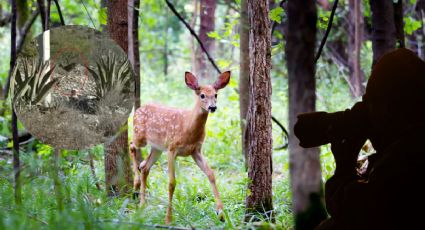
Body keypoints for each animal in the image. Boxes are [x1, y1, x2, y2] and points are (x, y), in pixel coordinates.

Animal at [129, 71, 230, 224]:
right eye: (202, 95)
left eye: (216, 95)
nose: (212, 107)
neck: (188, 127)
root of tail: (138, 109)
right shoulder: (172, 148)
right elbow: (172, 183)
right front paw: (168, 219)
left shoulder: (196, 150)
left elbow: (211, 175)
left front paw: (221, 214)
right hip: (140, 136)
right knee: (132, 145)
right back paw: (135, 185)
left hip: (157, 148)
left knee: (145, 167)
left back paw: (142, 203)